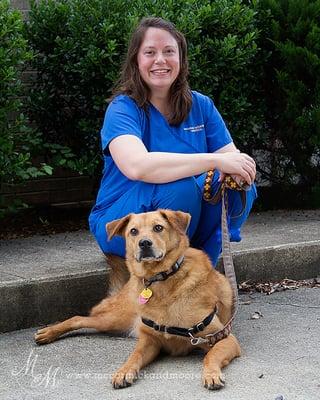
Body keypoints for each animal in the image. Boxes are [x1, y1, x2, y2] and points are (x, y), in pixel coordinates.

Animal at [35, 211, 240, 390]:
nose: (144, 243)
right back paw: (49, 332)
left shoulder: (223, 338)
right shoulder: (149, 340)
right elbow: (135, 355)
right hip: (114, 319)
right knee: (79, 318)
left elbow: (211, 355)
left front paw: (211, 374)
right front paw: (124, 371)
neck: (161, 281)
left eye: (158, 227)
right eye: (133, 231)